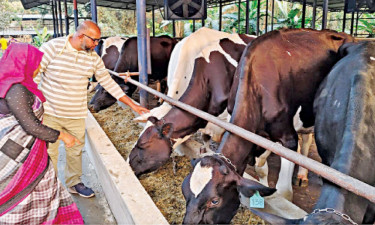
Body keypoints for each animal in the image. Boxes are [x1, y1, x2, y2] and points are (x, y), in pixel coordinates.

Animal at [182, 28, 356, 223]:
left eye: (214, 201)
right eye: (184, 191)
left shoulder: (288, 139)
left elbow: (284, 193)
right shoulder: (258, 136)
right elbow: (261, 169)